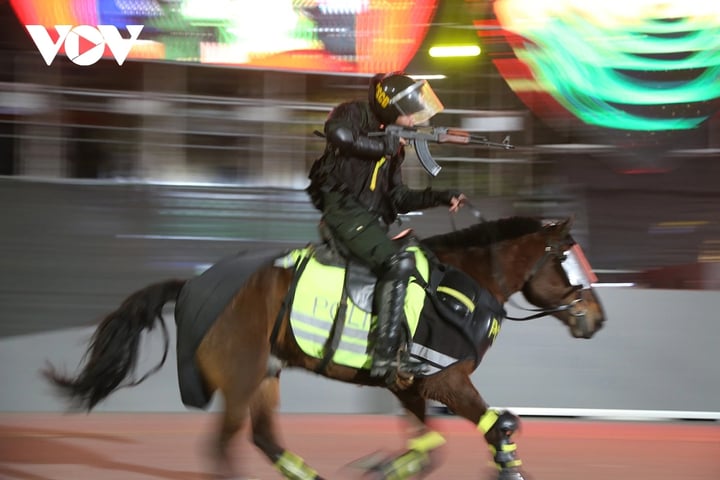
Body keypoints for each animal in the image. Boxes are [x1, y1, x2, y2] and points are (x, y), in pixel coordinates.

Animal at [43, 216, 608, 478]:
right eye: (569, 260)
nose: (598, 318)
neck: (461, 286)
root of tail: (190, 285)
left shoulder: (409, 386)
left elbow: (428, 445)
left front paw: (386, 467)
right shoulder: (446, 378)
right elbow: (499, 427)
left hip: (266, 376)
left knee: (265, 439)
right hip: (242, 377)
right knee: (223, 448)